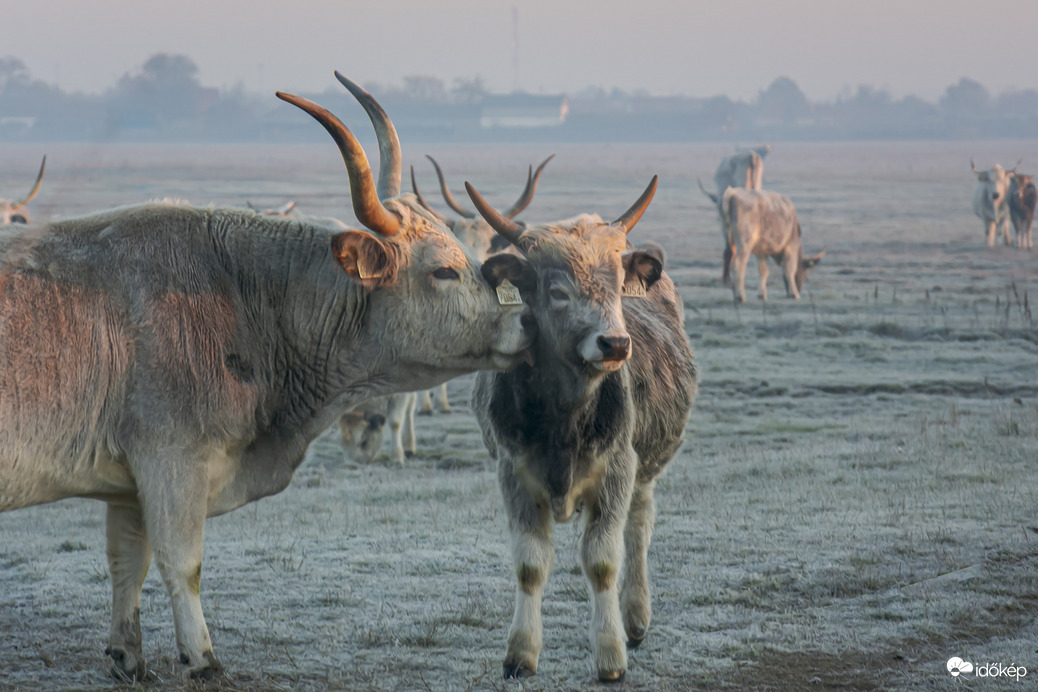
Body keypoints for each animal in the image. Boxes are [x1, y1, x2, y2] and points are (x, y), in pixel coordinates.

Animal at [0, 74, 535, 680]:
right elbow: (182, 563)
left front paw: (126, 657)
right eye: (442, 270)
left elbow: (127, 564)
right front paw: (202, 659)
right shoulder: (171, 461)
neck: (239, 290)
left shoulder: (128, 482)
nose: (524, 319)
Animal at [465, 174, 697, 680]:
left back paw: (636, 617)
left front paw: (610, 655)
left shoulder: (617, 470)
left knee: (639, 527)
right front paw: (521, 653)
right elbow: (530, 564)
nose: (614, 343)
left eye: (618, 286)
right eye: (557, 291)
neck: (564, 418)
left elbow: (603, 560)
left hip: (645, 468)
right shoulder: (513, 473)